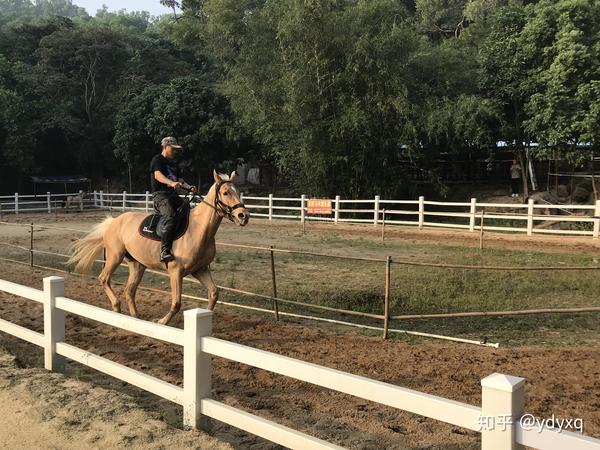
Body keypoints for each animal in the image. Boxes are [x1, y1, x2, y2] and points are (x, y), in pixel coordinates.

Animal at [67, 171, 248, 324]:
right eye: (225, 192)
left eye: (238, 191)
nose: (243, 216)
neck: (198, 229)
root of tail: (113, 222)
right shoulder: (176, 272)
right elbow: (176, 303)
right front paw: (162, 322)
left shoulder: (200, 270)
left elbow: (214, 293)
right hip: (114, 257)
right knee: (104, 278)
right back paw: (116, 306)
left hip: (137, 265)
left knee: (129, 290)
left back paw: (135, 317)